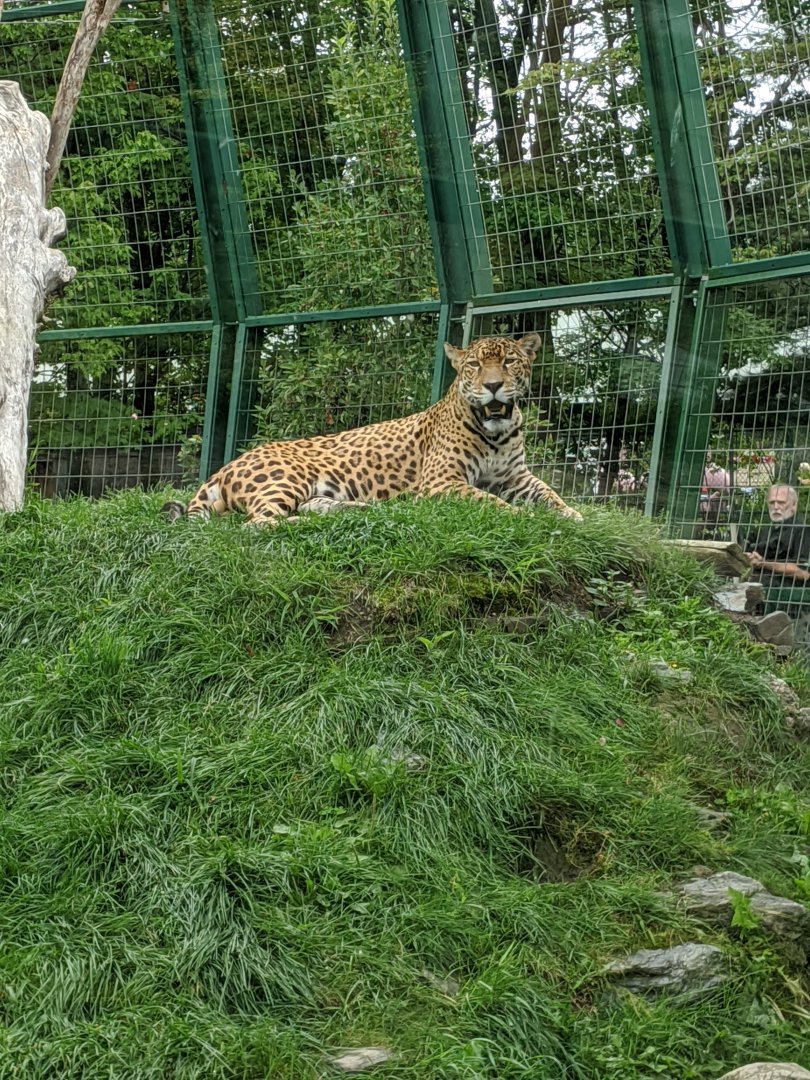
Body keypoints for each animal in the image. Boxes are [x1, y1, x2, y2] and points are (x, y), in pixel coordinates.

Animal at [162, 333, 582, 525]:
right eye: (475, 366)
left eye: (510, 361)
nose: (493, 386)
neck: (496, 432)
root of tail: (224, 468)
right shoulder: (443, 482)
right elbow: (489, 502)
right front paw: (524, 518)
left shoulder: (516, 477)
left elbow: (549, 493)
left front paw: (571, 514)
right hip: (286, 477)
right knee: (257, 523)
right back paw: (299, 524)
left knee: (309, 506)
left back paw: (362, 508)